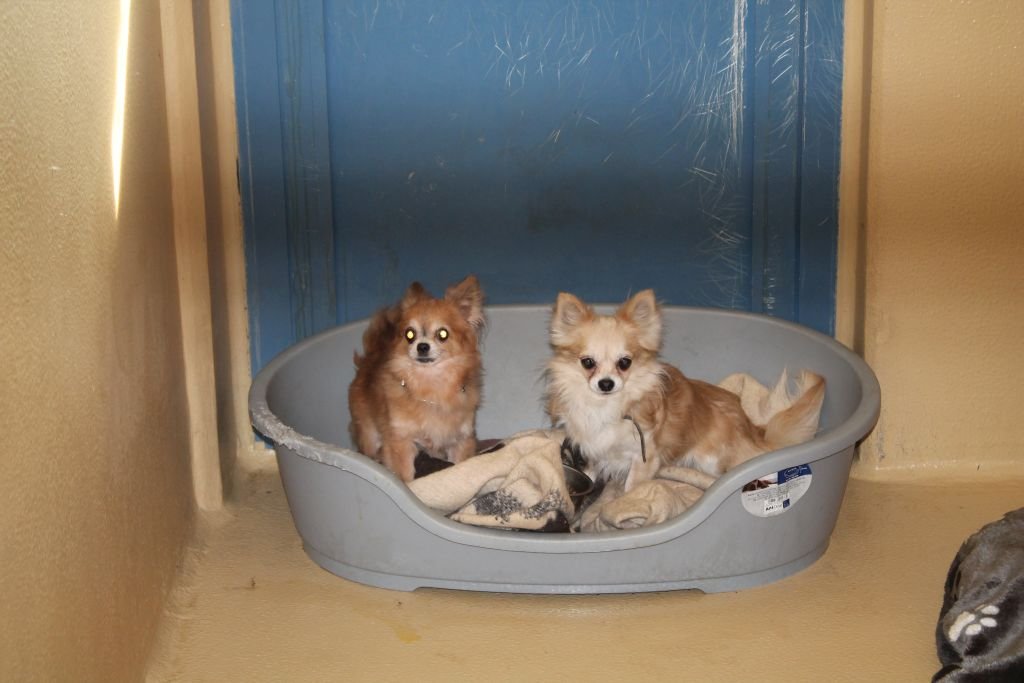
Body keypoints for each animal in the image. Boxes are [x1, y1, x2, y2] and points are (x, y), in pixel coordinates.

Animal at [348, 275, 485, 482]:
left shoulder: (461, 439)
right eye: (409, 334)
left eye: (442, 334)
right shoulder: (401, 440)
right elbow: (405, 476)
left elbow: (460, 466)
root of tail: (370, 356)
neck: (432, 385)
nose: (422, 346)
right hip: (369, 434)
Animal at [544, 289, 825, 491]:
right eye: (587, 362)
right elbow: (590, 474)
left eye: (625, 363)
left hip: (713, 459)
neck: (605, 406)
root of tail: (754, 429)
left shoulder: (644, 457)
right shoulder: (592, 450)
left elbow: (631, 487)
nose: (606, 383)